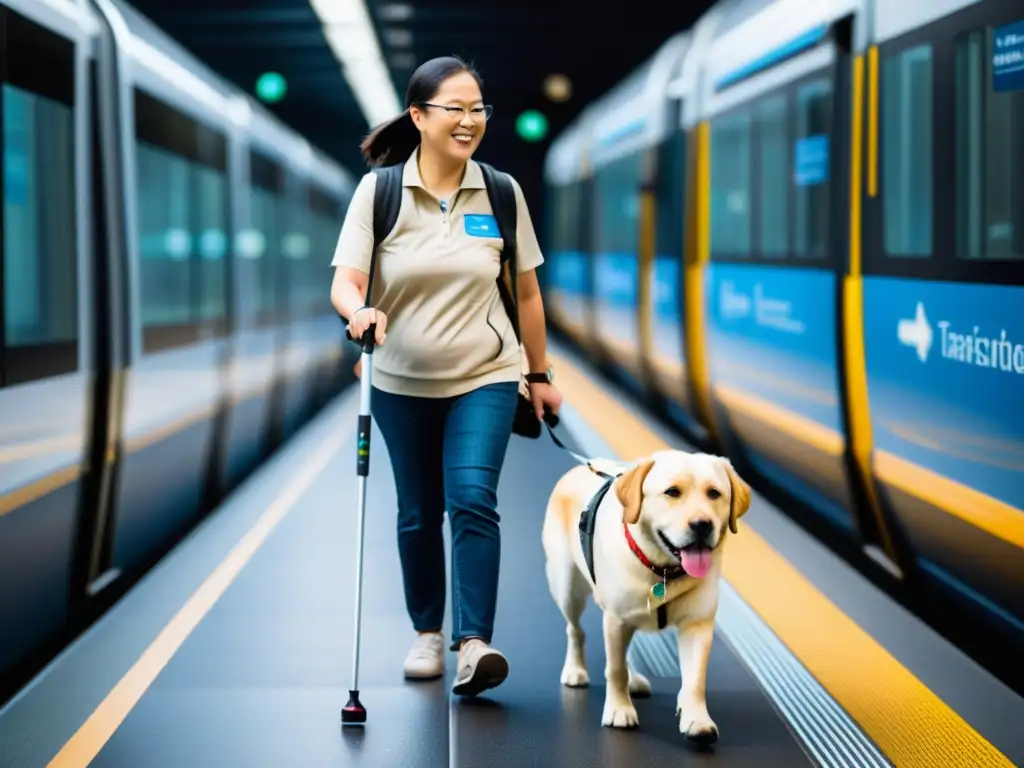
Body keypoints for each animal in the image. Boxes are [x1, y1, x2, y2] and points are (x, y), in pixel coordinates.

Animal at [544, 450, 753, 745]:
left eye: (714, 493)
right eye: (672, 492)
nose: (702, 525)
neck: (663, 570)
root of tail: (579, 468)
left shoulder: (697, 625)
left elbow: (695, 680)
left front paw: (697, 719)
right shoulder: (616, 618)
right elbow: (615, 670)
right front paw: (620, 709)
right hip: (567, 587)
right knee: (575, 630)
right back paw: (575, 670)